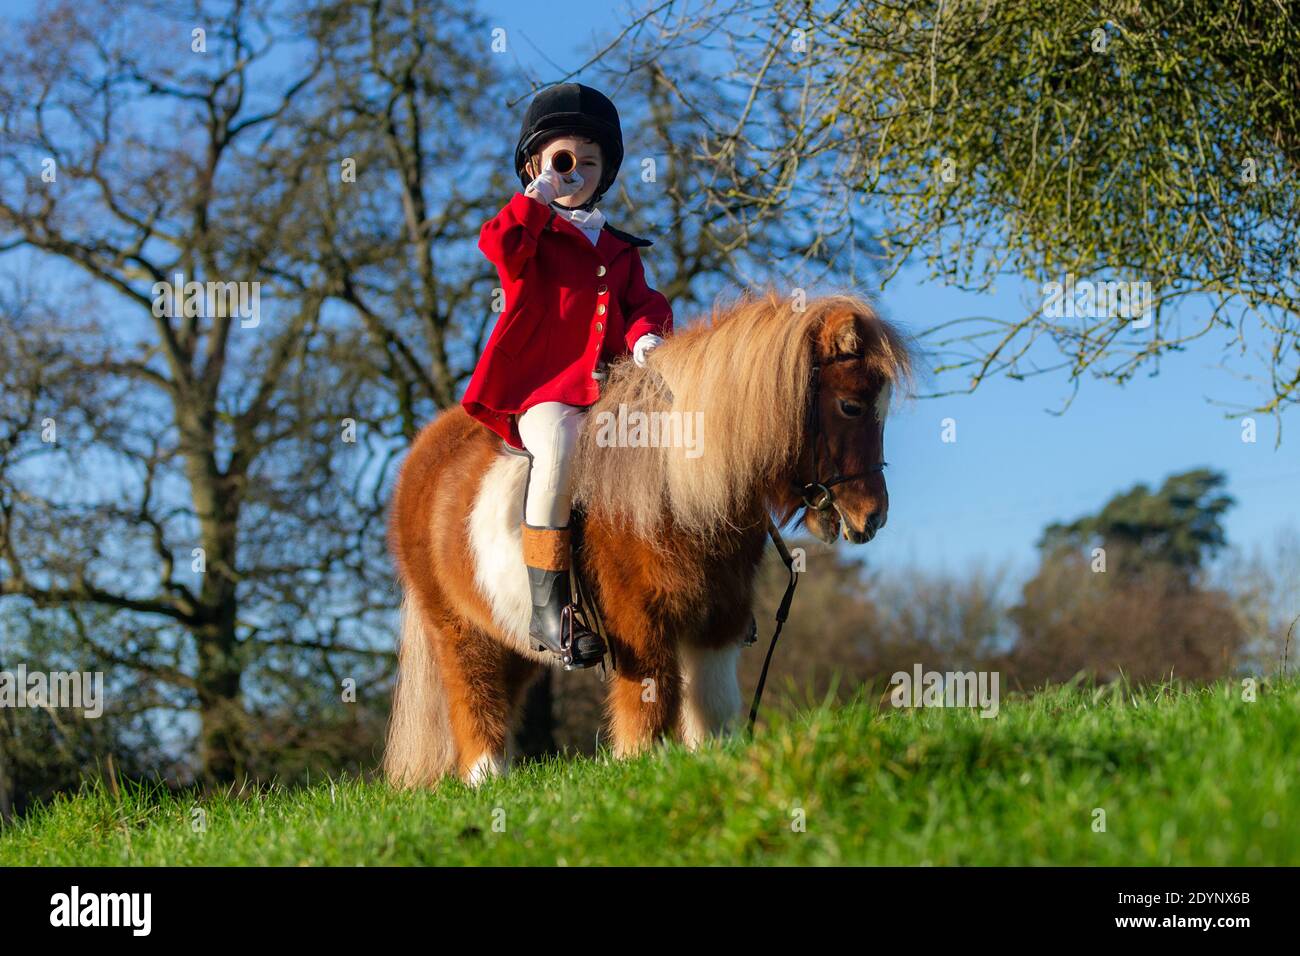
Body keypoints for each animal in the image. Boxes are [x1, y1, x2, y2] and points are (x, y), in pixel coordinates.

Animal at [382, 290, 915, 785]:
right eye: (851, 406)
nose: (873, 517)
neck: (674, 482)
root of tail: (423, 453)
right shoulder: (639, 626)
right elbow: (649, 710)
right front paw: (642, 767)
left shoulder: (720, 616)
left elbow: (712, 706)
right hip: (457, 627)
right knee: (474, 693)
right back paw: (487, 777)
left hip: (511, 634)